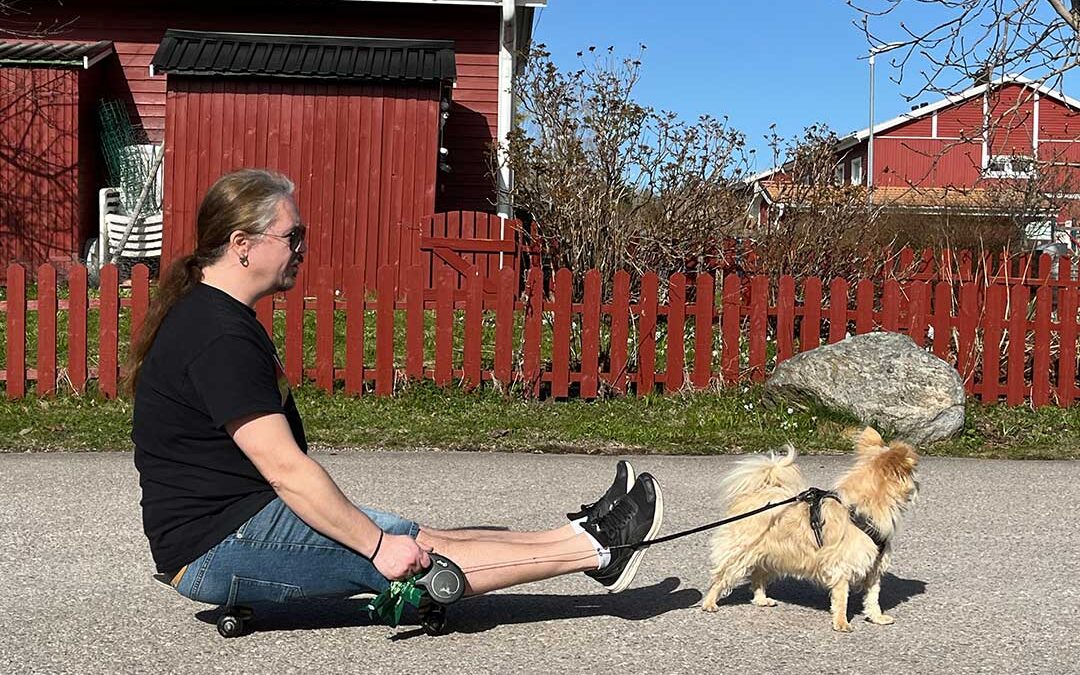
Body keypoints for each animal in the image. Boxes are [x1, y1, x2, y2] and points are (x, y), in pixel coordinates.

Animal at [699, 425, 920, 630]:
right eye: (913, 472)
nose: (918, 484)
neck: (858, 510)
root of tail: (757, 494)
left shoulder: (874, 567)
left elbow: (873, 597)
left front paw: (876, 617)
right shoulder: (841, 567)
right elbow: (842, 598)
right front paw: (841, 622)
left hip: (769, 554)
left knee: (758, 576)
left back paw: (761, 599)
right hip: (740, 553)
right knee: (721, 576)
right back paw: (709, 602)